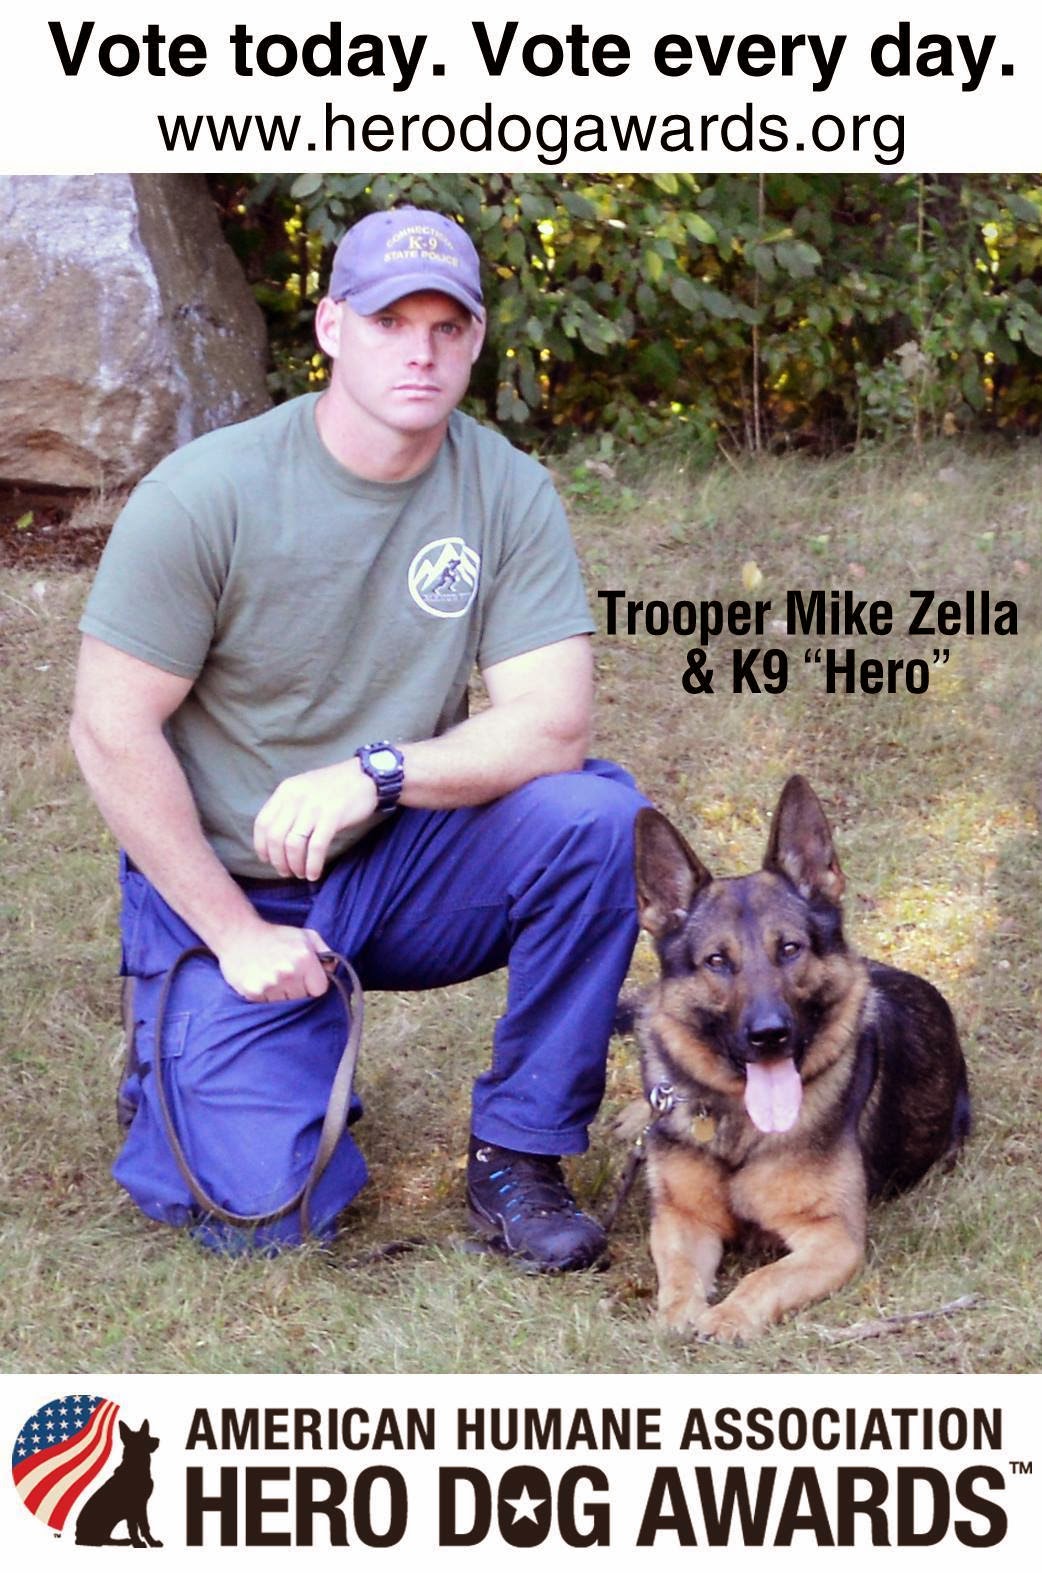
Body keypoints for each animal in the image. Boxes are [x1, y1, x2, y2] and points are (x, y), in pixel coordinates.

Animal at [74, 1418, 162, 1547]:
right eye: (143, 1437)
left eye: (147, 1434)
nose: (157, 1440)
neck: (136, 1466)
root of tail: (77, 1536)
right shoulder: (133, 1507)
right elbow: (134, 1527)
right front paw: (138, 1543)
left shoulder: (142, 1505)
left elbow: (145, 1526)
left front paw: (152, 1542)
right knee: (98, 1541)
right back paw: (124, 1541)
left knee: (105, 1539)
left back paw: (124, 1541)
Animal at [631, 775, 970, 1343]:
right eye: (717, 961)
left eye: (789, 949)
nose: (770, 1035)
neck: (740, 1130)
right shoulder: (682, 1218)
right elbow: (677, 1276)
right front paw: (676, 1315)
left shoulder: (832, 1239)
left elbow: (764, 1277)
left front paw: (728, 1315)